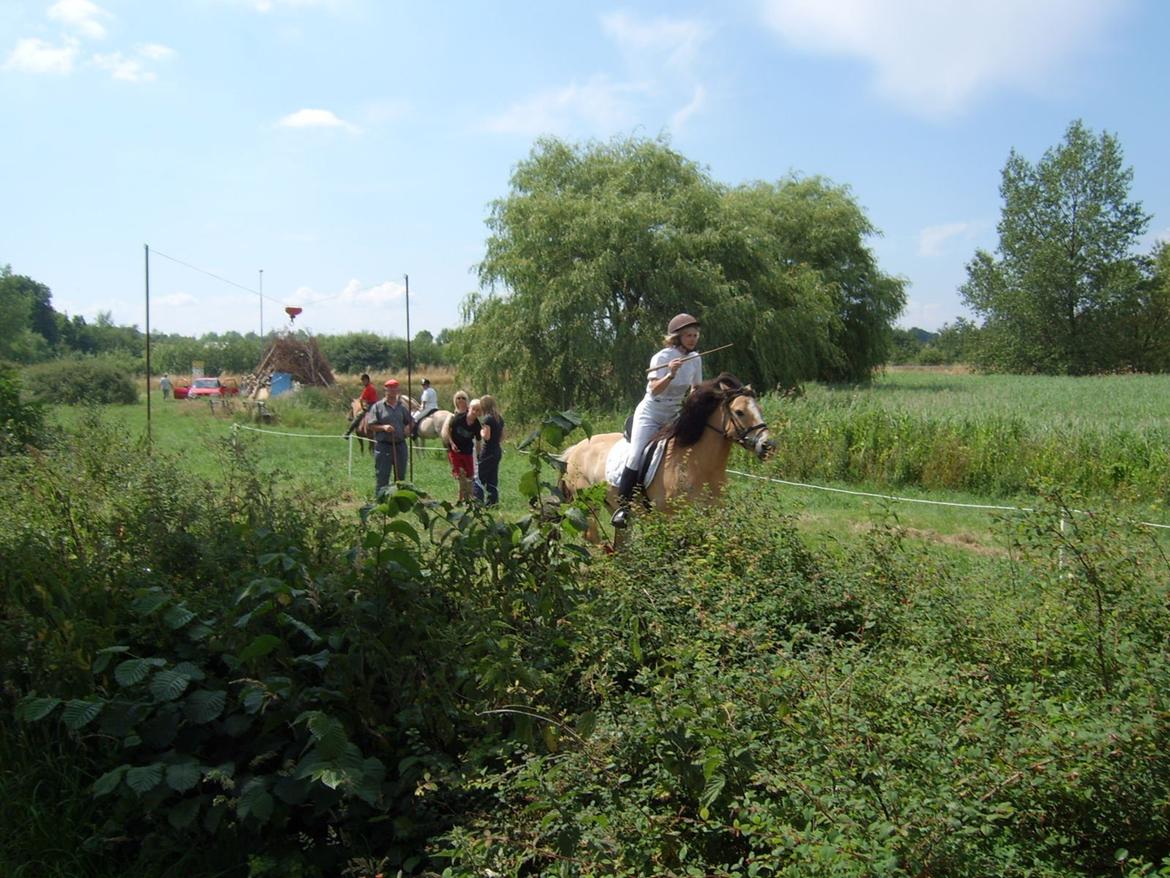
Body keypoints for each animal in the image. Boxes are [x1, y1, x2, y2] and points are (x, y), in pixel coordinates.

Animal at [559, 374, 772, 540]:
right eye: (740, 412)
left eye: (760, 410)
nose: (768, 445)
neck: (699, 464)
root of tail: (574, 450)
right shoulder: (673, 519)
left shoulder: (712, 514)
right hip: (588, 506)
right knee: (594, 538)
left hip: (612, 505)